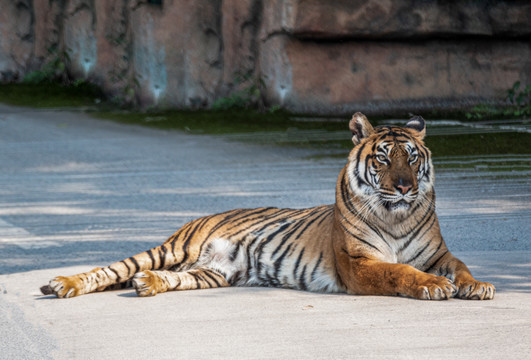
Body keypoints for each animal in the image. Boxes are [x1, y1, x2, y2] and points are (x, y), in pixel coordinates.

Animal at [40, 112, 494, 300]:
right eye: (382, 159)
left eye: (413, 158)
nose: (403, 187)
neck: (396, 216)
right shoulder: (358, 263)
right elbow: (398, 271)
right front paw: (434, 287)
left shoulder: (438, 254)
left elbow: (461, 267)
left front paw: (477, 286)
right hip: (172, 248)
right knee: (110, 269)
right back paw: (61, 285)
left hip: (213, 273)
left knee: (171, 278)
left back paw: (147, 284)